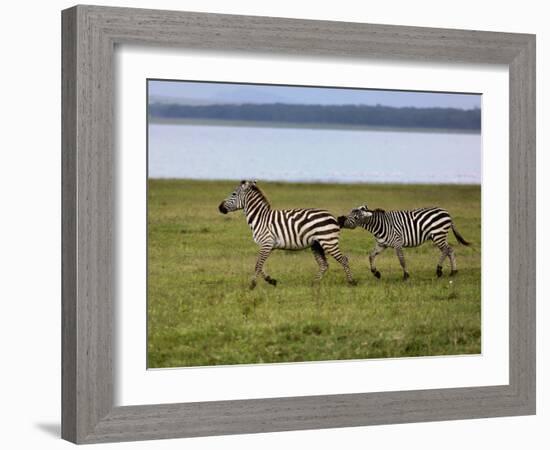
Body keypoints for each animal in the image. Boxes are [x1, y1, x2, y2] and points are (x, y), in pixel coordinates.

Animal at [218, 180, 356, 288]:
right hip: (316, 244)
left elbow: (257, 265)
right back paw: (314, 283)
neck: (260, 218)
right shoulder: (268, 246)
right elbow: (260, 265)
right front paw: (271, 281)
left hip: (328, 241)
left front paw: (252, 285)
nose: (219, 207)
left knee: (344, 259)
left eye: (233, 194)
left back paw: (351, 282)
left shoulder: (266, 243)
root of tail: (331, 216)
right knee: (324, 264)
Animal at [338, 205, 472, 282]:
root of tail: (446, 212)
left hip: (438, 234)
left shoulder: (397, 243)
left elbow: (401, 260)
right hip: (440, 236)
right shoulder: (382, 244)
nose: (340, 220)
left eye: (355, 217)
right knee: (450, 250)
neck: (379, 226)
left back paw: (439, 270)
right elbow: (371, 256)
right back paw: (453, 272)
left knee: (446, 250)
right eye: (349, 213)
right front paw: (376, 273)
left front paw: (406, 276)